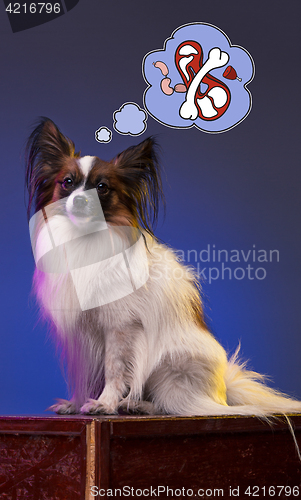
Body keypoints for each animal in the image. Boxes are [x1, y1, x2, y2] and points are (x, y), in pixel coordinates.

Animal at [25, 118, 300, 418]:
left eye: (102, 188)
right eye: (67, 183)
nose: (80, 200)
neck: (84, 239)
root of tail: (223, 391)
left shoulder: (119, 328)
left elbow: (114, 370)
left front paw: (104, 403)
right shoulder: (80, 336)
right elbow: (83, 374)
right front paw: (75, 403)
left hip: (169, 368)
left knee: (174, 405)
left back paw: (137, 405)